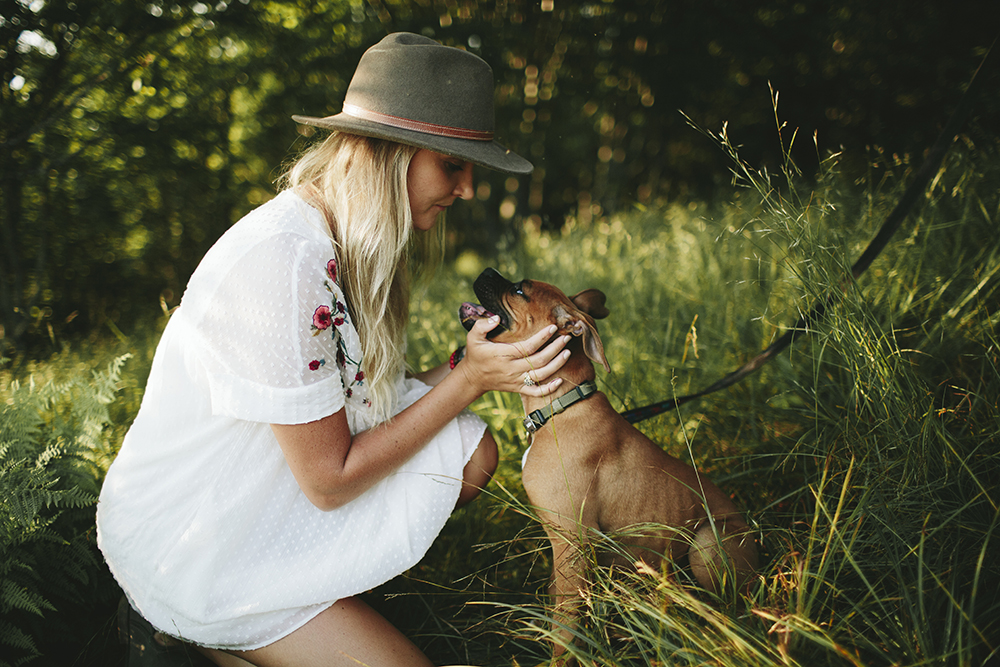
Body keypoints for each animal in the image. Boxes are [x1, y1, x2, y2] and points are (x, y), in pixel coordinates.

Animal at [460, 268, 756, 664]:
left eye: (520, 290)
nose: (486, 271)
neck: (561, 405)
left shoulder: (573, 540)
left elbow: (565, 623)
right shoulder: (563, 545)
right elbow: (561, 603)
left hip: (708, 542)